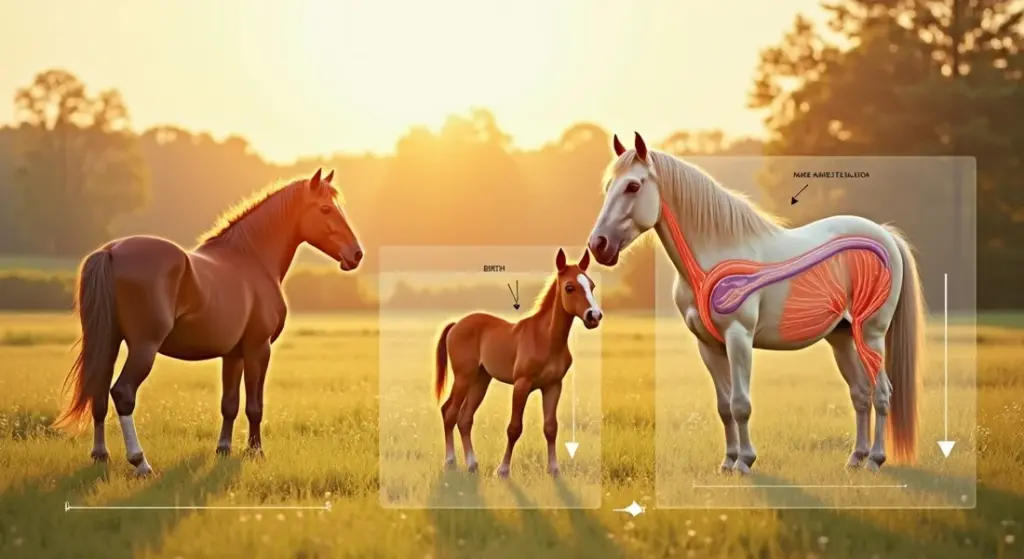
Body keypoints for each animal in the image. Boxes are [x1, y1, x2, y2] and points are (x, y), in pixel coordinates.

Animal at [52, 168, 364, 476]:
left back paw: (100, 455)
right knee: (123, 393)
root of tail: (111, 251)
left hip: (108, 342)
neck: (251, 260)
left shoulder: (233, 354)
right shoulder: (258, 348)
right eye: (325, 208)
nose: (356, 254)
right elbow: (254, 406)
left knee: (99, 394)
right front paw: (255, 452)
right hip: (144, 347)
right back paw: (140, 462)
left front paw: (223, 449)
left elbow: (230, 404)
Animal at [433, 248, 603, 478]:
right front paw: (503, 470)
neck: (545, 338)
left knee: (464, 418)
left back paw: (472, 464)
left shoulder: (553, 386)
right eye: (569, 287)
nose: (594, 316)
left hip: (480, 380)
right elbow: (514, 428)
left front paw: (554, 469)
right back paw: (450, 461)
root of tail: (456, 324)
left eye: (591, 285)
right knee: (449, 412)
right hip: (464, 377)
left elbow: (551, 427)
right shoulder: (522, 385)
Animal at [587, 133, 925, 474]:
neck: (715, 255)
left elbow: (740, 404)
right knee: (860, 394)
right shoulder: (708, 345)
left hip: (870, 335)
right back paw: (856, 457)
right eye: (608, 186)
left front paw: (745, 462)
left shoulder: (739, 337)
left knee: (882, 393)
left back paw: (875, 460)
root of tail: (885, 234)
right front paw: (728, 462)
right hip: (841, 337)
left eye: (633, 186)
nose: (598, 245)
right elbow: (724, 407)